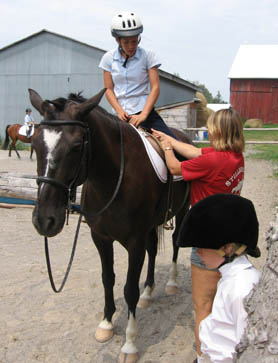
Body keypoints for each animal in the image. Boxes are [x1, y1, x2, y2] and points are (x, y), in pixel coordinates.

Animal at [29, 89, 191, 363]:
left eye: (77, 146)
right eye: (35, 144)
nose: (44, 219)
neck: (113, 179)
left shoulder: (134, 242)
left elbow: (129, 289)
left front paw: (129, 345)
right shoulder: (101, 237)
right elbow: (108, 279)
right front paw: (106, 324)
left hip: (182, 211)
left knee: (176, 243)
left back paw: (170, 284)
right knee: (153, 249)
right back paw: (149, 293)